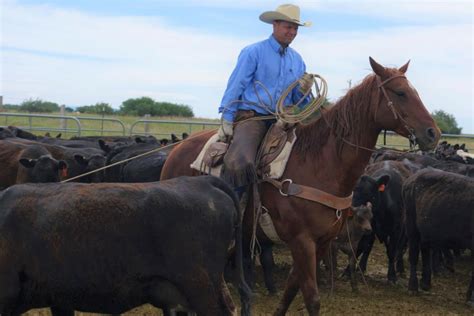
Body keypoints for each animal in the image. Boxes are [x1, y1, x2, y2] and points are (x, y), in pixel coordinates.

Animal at [160, 57, 440, 316]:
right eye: (400, 93)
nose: (433, 133)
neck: (320, 164)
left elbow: (291, 288)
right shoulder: (302, 240)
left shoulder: (321, 242)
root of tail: (176, 152)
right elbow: (311, 298)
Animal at [402, 168, 472, 304]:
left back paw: (425, 282)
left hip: (426, 230)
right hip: (411, 226)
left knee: (425, 251)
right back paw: (413, 286)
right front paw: (471, 298)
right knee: (414, 255)